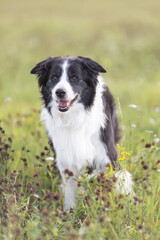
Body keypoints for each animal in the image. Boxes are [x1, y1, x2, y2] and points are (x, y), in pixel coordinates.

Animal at [30, 56, 133, 210]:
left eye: (75, 77)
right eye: (54, 77)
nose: (60, 92)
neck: (74, 119)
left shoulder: (108, 156)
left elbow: (116, 183)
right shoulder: (66, 158)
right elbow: (70, 191)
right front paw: (69, 212)